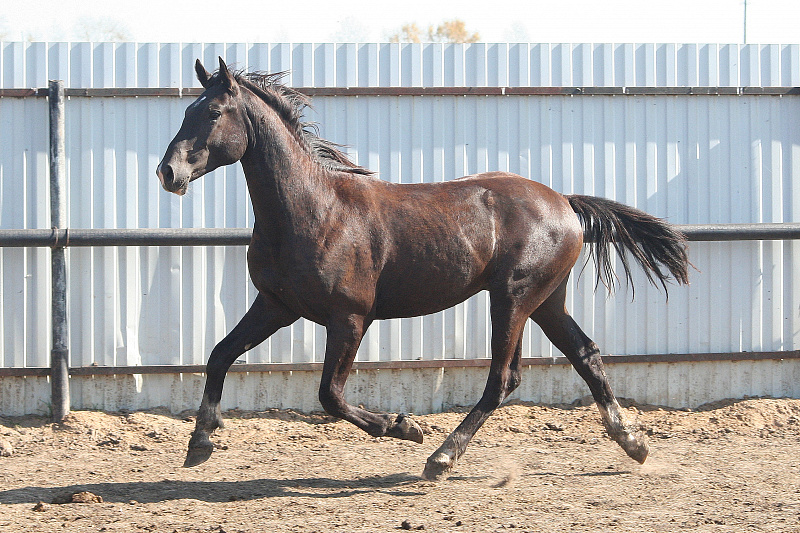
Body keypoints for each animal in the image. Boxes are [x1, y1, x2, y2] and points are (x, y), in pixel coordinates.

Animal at [156, 57, 689, 481]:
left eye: (212, 112)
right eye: (185, 110)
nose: (168, 173)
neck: (314, 211)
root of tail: (564, 202)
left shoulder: (349, 319)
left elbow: (330, 394)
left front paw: (403, 426)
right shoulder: (275, 306)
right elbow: (219, 355)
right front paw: (200, 442)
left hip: (513, 299)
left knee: (503, 379)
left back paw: (440, 457)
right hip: (545, 301)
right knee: (585, 354)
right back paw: (634, 444)